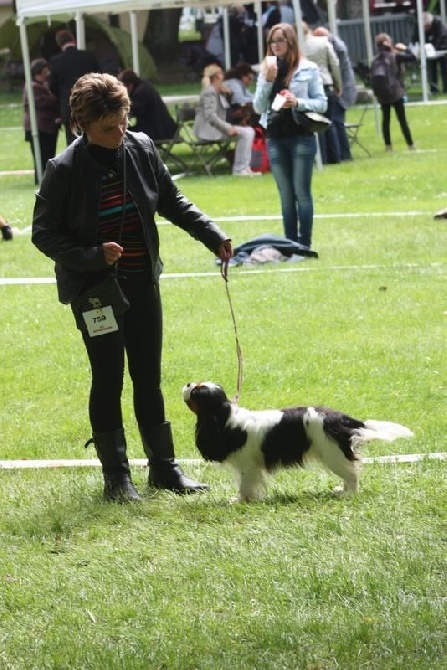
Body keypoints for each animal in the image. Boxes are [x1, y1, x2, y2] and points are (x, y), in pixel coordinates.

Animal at [182, 384, 412, 504]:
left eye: (195, 392)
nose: (188, 383)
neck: (225, 418)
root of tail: (341, 418)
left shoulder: (248, 467)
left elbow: (245, 486)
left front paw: (241, 501)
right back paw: (342, 490)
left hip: (333, 455)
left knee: (352, 475)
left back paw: (349, 495)